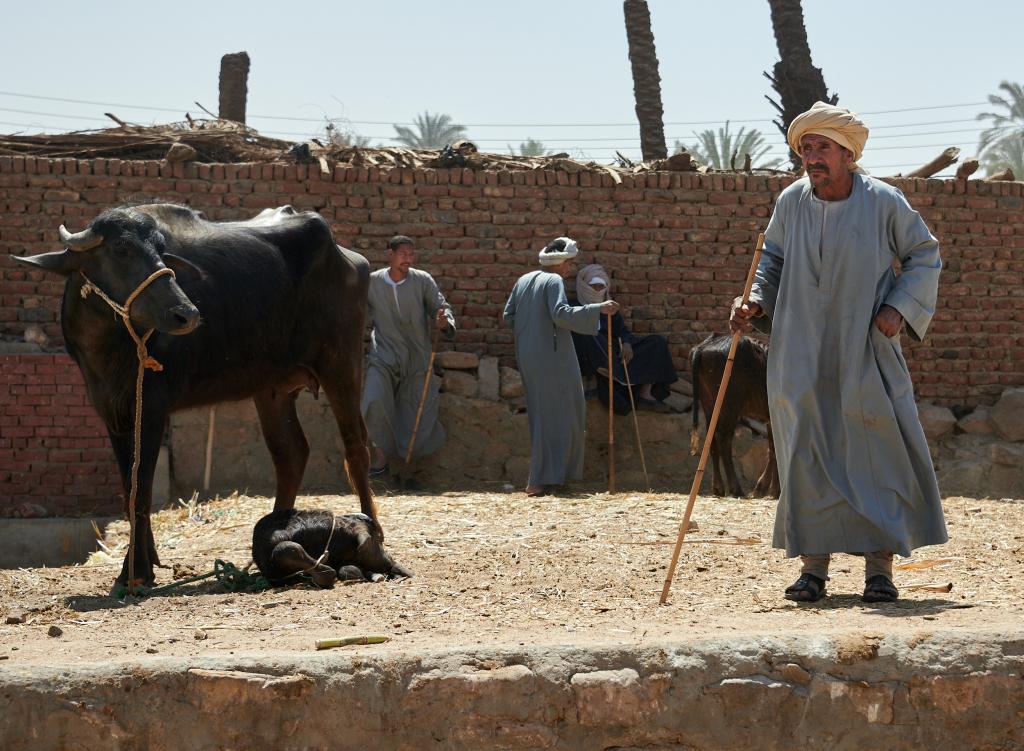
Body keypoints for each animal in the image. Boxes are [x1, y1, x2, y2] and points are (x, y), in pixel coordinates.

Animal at [14, 204, 376, 590]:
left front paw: (135, 572)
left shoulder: (152, 408)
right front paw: (146, 559)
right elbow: (128, 488)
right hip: (272, 388)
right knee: (290, 453)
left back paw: (373, 536)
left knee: (355, 448)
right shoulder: (111, 412)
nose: (185, 314)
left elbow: (142, 490)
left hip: (342, 363)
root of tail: (346, 256)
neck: (109, 347)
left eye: (161, 249)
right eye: (121, 248)